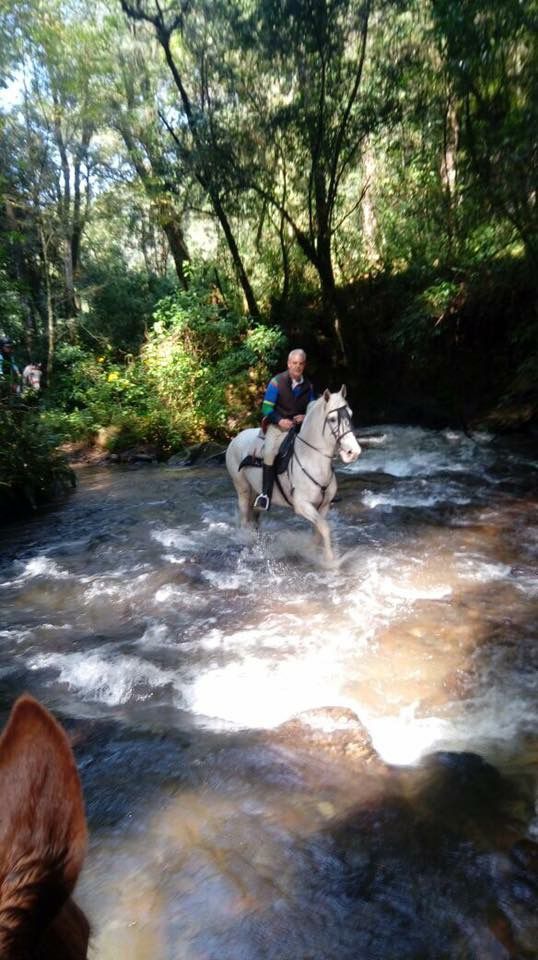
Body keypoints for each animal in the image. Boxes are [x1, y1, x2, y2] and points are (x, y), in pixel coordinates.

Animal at [224, 384, 358, 564]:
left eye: (350, 414)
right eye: (332, 419)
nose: (353, 452)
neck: (311, 458)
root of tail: (235, 438)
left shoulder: (323, 506)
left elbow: (319, 531)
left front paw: (312, 551)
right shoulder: (302, 506)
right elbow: (324, 528)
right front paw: (330, 561)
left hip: (255, 492)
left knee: (255, 518)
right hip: (242, 488)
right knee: (246, 519)